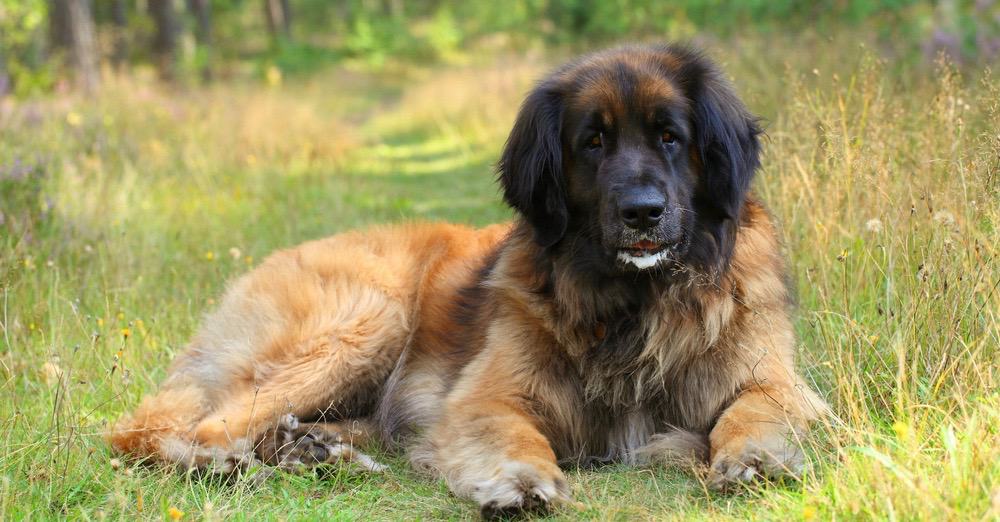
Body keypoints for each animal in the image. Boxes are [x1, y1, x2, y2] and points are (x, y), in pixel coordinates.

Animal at [111, 45, 828, 516]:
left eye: (670, 137)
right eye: (592, 142)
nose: (642, 212)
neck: (634, 303)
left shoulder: (776, 380)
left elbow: (757, 407)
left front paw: (755, 457)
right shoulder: (487, 396)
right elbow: (512, 434)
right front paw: (519, 482)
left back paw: (313, 452)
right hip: (369, 317)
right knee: (164, 431)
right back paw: (224, 465)